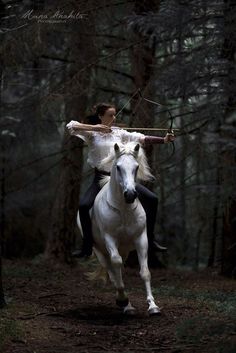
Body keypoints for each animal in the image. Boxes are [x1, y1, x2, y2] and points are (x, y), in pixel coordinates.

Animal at [77, 142, 160, 314]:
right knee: (113, 272)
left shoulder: (141, 239)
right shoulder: (110, 239)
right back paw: (125, 304)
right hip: (100, 251)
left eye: (136, 167)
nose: (130, 194)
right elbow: (116, 266)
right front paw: (122, 300)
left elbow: (145, 272)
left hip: (125, 249)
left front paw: (153, 306)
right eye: (118, 167)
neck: (123, 209)